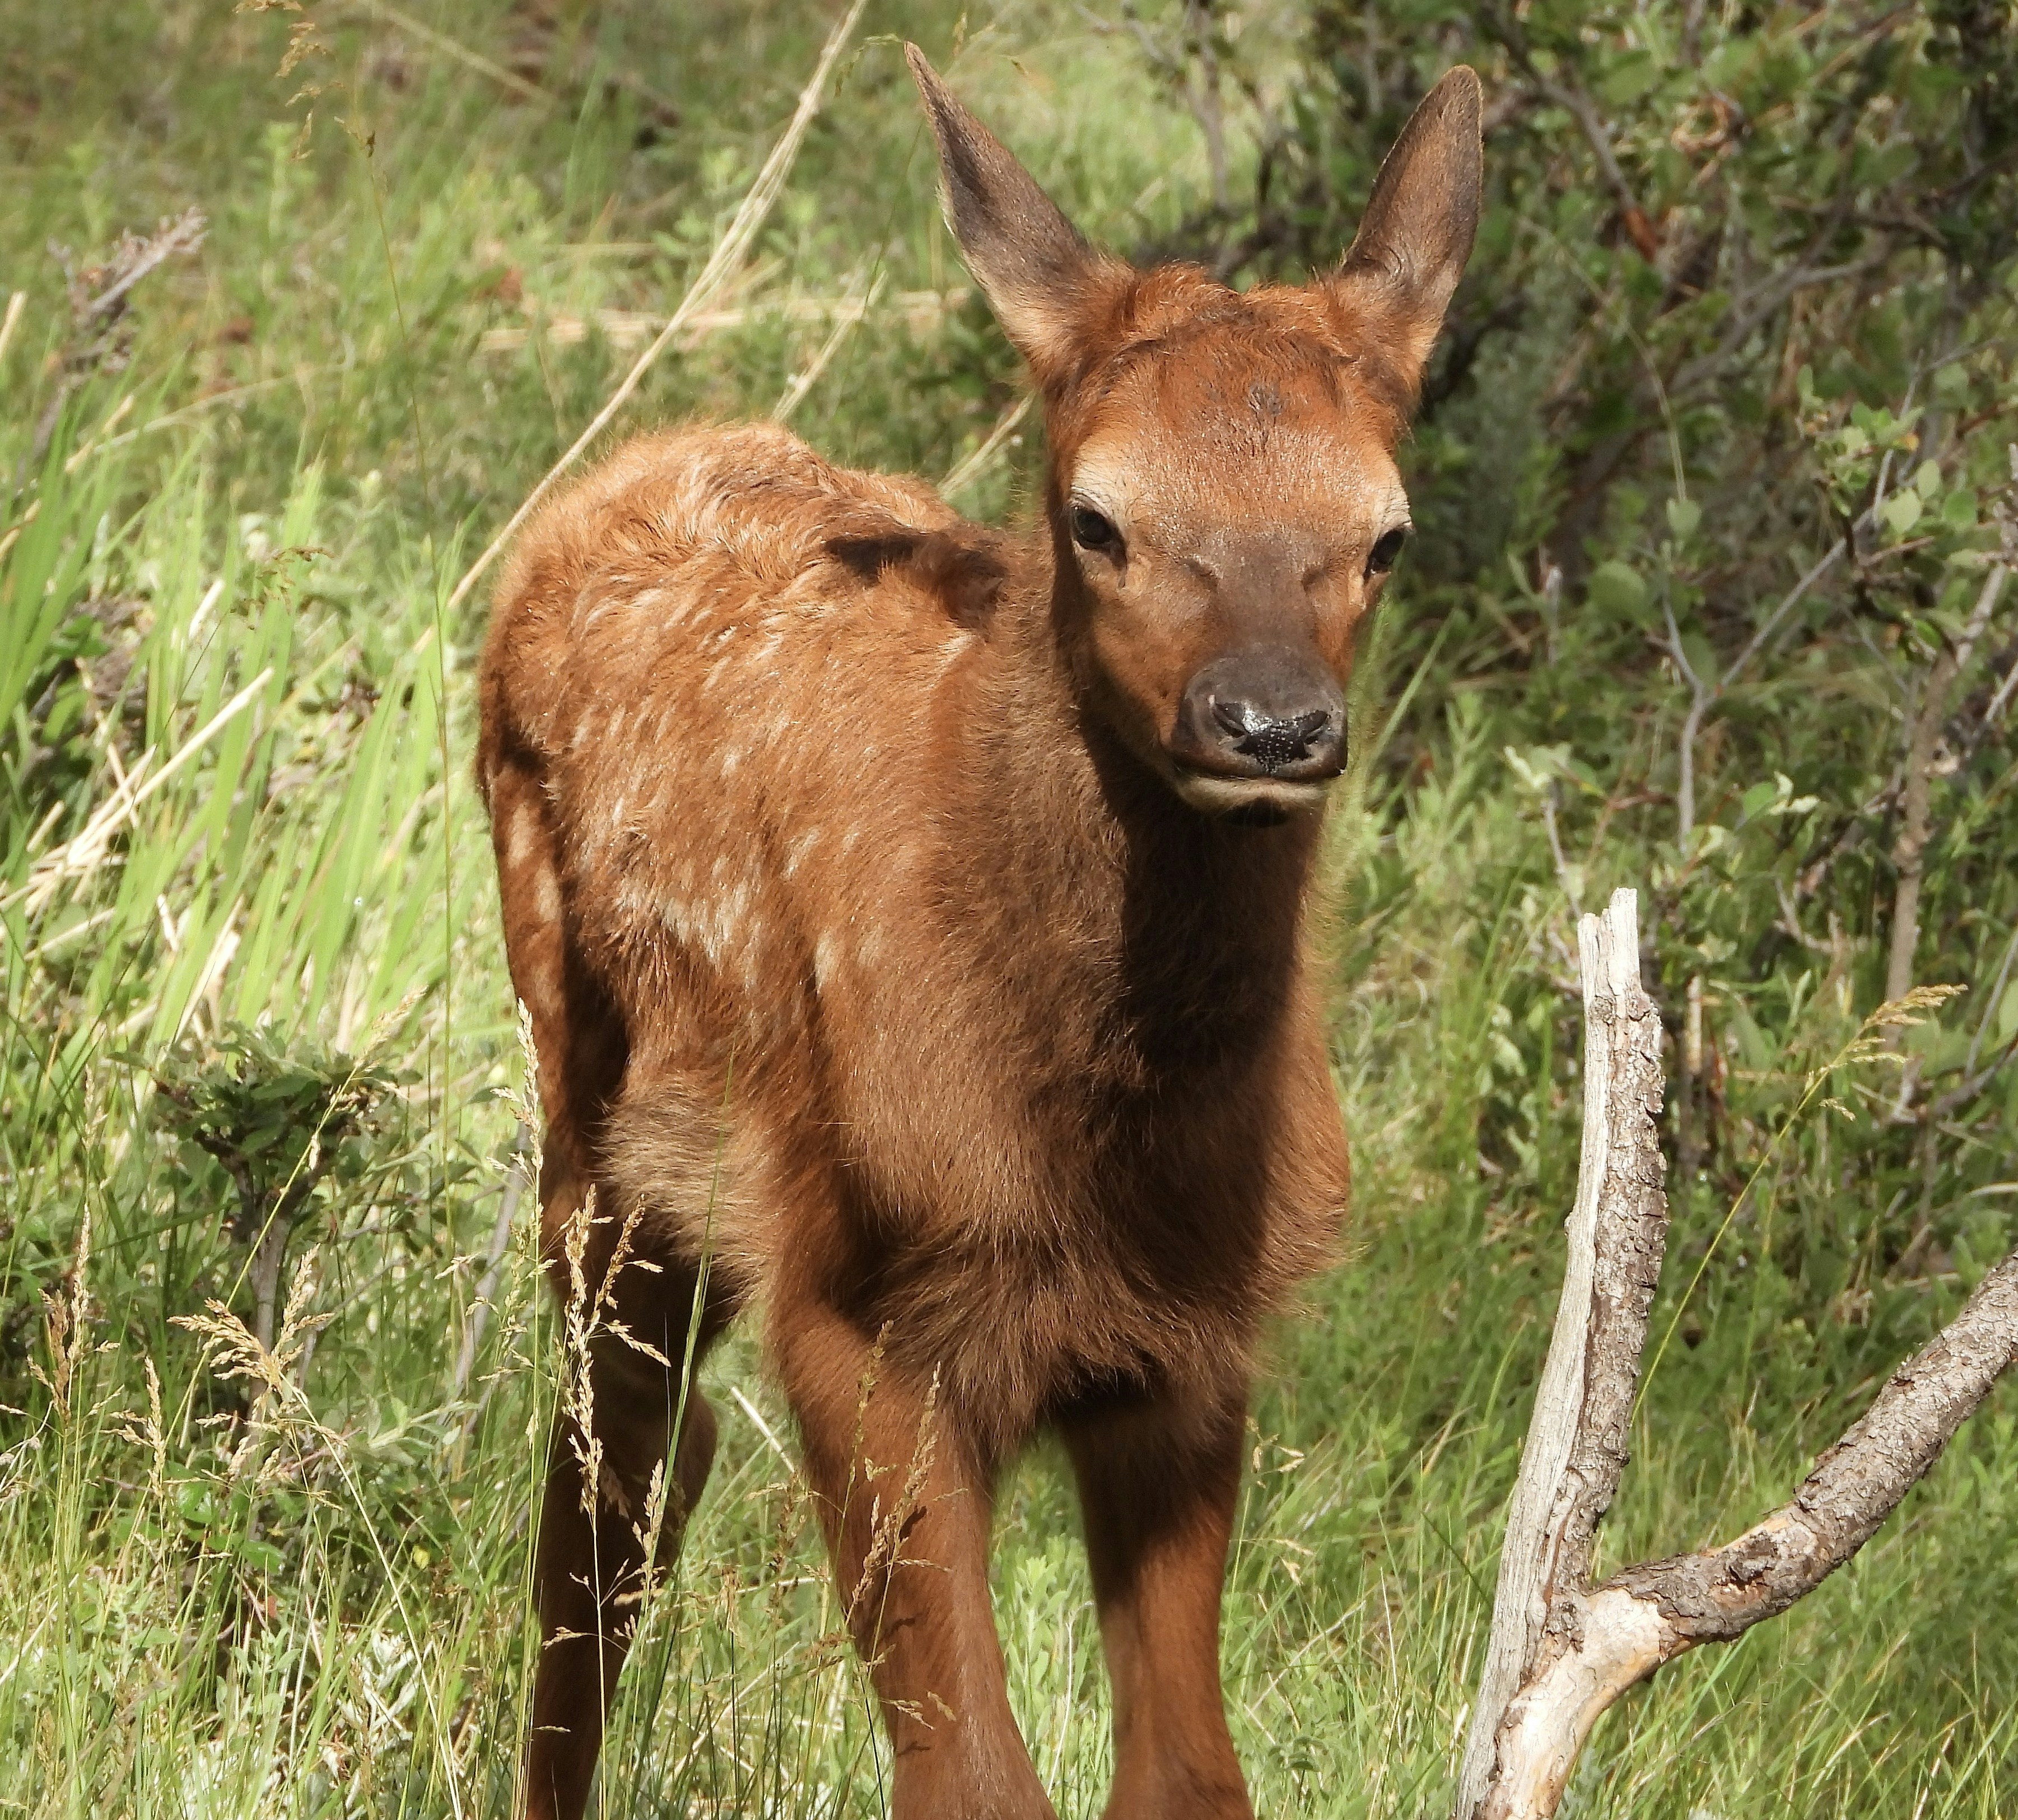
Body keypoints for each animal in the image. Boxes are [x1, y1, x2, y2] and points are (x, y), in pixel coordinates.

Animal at [477, 46, 1480, 1820]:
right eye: (1094, 518)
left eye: (1384, 534)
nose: (1268, 722)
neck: (1095, 1149)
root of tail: (622, 471)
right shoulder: (851, 1300)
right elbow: (969, 1774)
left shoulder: (1187, 1349)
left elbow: (1186, 1774)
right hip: (592, 1118)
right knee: (599, 1493)